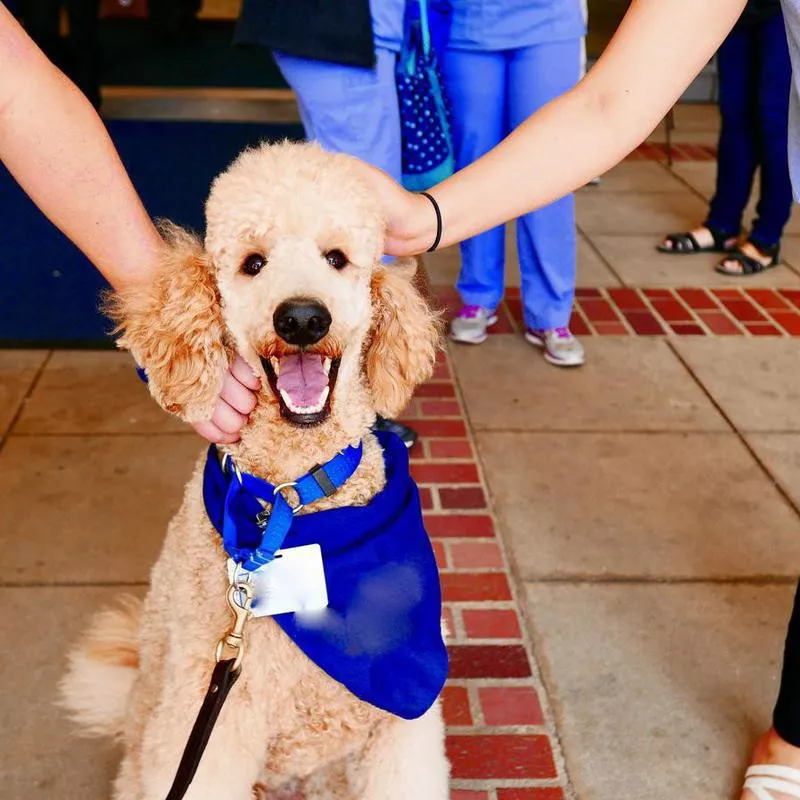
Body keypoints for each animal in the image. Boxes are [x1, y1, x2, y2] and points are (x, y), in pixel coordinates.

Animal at [61, 142, 450, 800]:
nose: (303, 318)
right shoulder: (211, 723)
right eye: (253, 263)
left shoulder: (402, 728)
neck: (295, 497)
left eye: (337, 258)